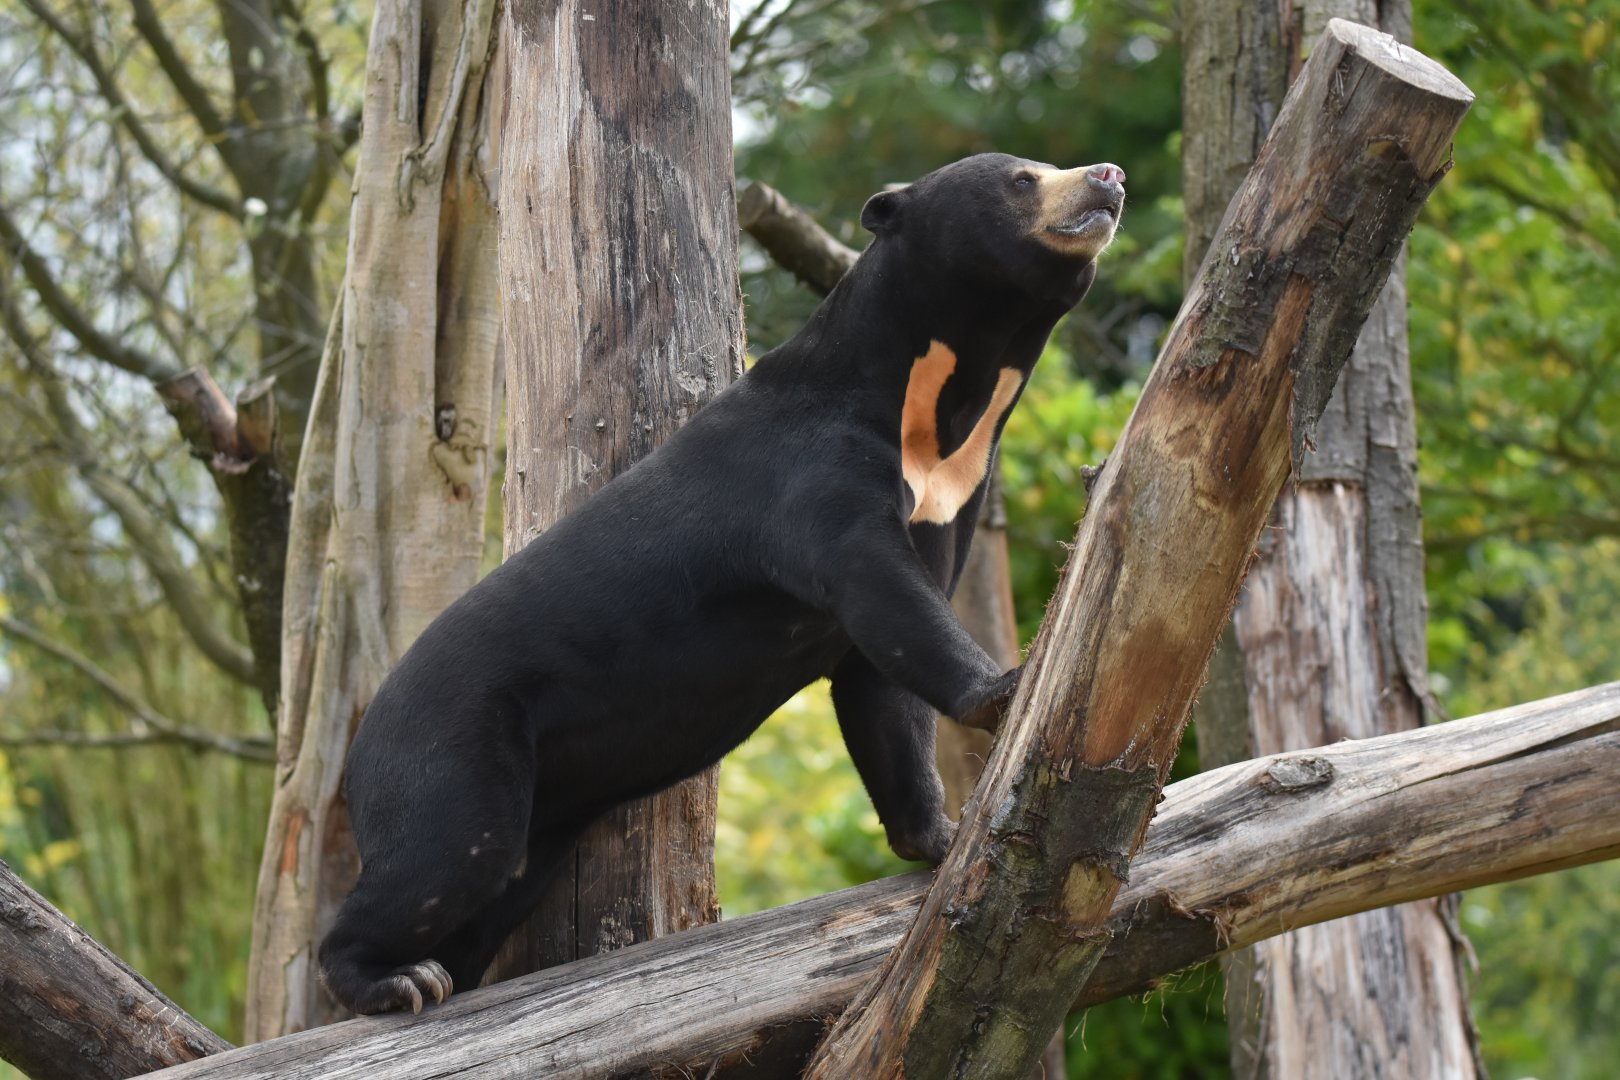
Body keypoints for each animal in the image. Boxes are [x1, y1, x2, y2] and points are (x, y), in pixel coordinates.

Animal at [318, 152, 1126, 1015]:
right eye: (1021, 178)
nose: (1108, 177)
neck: (933, 412)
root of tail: (363, 739)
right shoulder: (813, 478)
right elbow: (882, 595)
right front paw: (1008, 689)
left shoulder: (945, 508)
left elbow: (882, 689)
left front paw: (938, 837)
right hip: (451, 750)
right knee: (441, 858)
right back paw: (397, 980)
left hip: (537, 810)